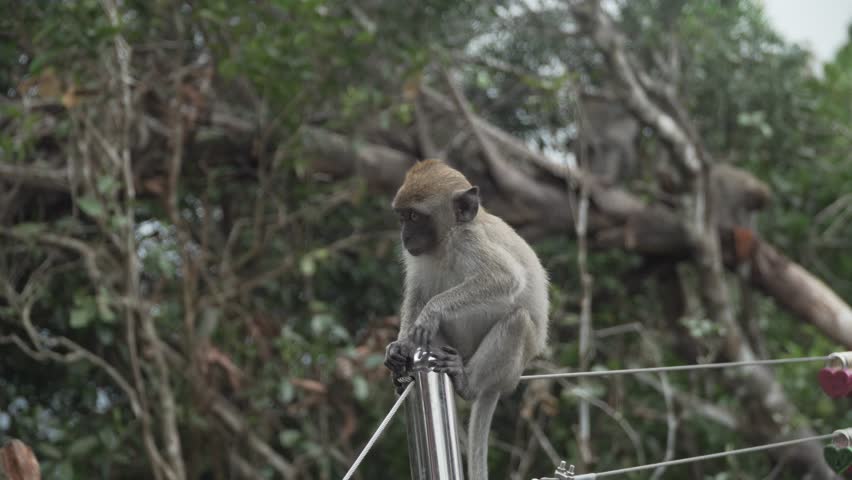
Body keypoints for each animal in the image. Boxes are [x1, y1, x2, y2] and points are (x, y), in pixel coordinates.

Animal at [383, 159, 549, 480]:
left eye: (414, 216)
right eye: (401, 217)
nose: (405, 237)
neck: (445, 242)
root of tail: (501, 383)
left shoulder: (470, 241)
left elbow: (505, 278)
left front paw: (431, 312)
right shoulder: (418, 257)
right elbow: (418, 293)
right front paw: (400, 347)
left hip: (507, 368)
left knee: (518, 320)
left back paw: (466, 384)